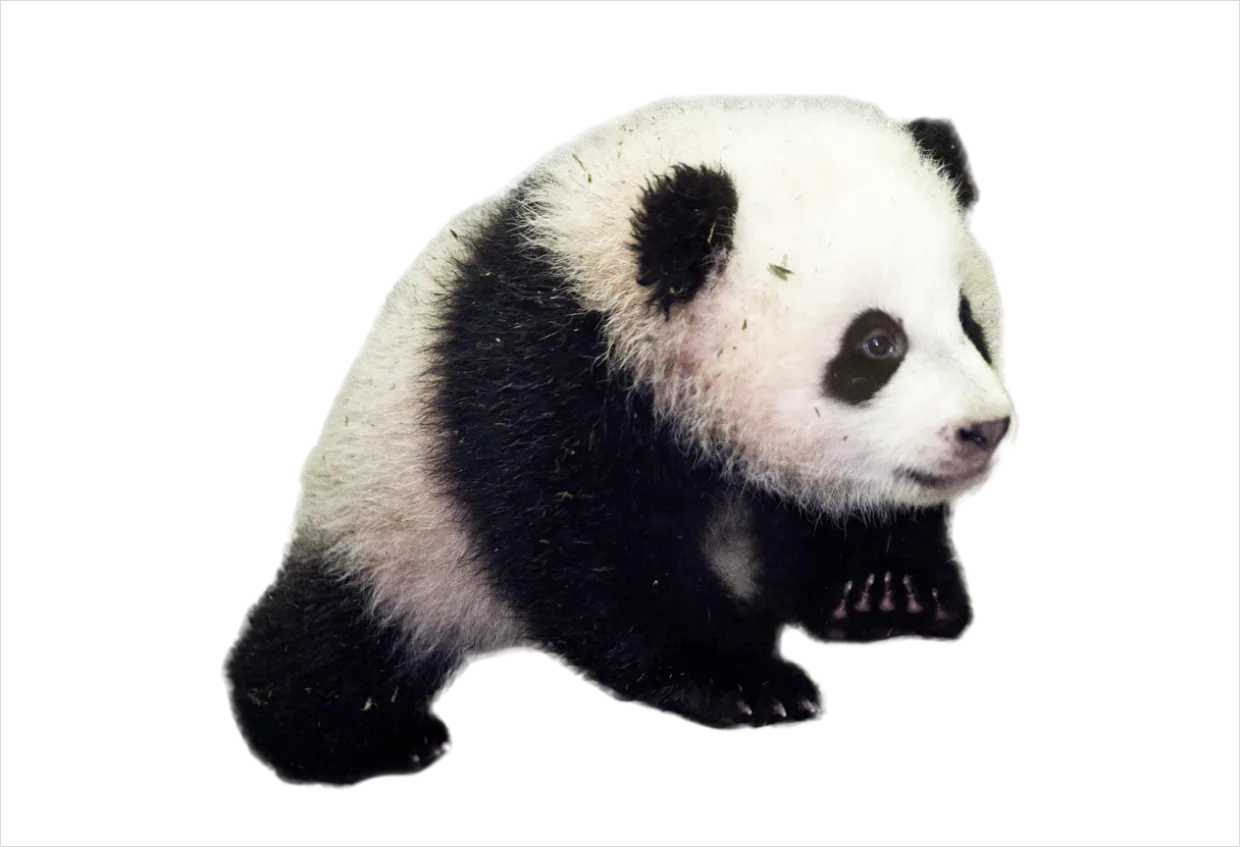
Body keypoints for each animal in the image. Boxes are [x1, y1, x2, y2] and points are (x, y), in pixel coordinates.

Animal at [224, 92, 1015, 787]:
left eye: (968, 320)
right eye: (876, 344)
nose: (984, 428)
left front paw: (885, 592)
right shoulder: (538, 367)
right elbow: (586, 547)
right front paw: (748, 680)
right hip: (391, 517)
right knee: (335, 640)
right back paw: (369, 741)